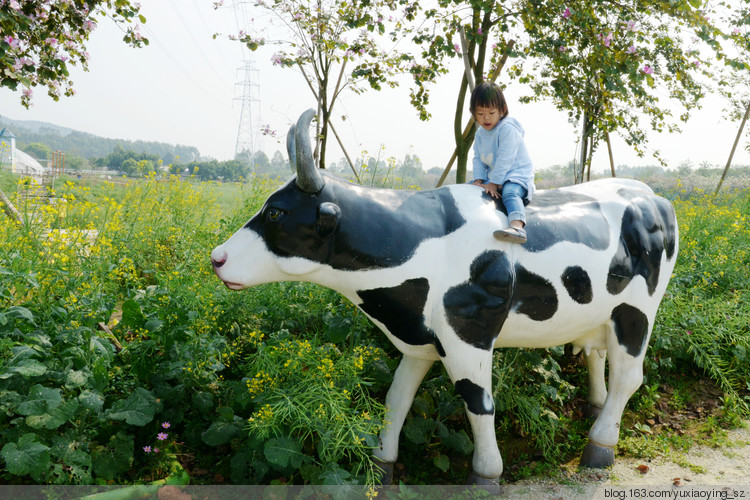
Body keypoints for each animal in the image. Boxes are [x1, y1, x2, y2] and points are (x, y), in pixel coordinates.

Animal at [212, 110, 680, 484]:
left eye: (276, 213)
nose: (216, 258)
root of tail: (652, 195)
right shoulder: (418, 339)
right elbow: (396, 399)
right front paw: (382, 462)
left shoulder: (468, 334)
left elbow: (478, 402)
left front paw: (486, 474)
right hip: (600, 312)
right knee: (597, 358)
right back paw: (596, 411)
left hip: (637, 312)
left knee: (628, 376)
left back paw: (599, 447)